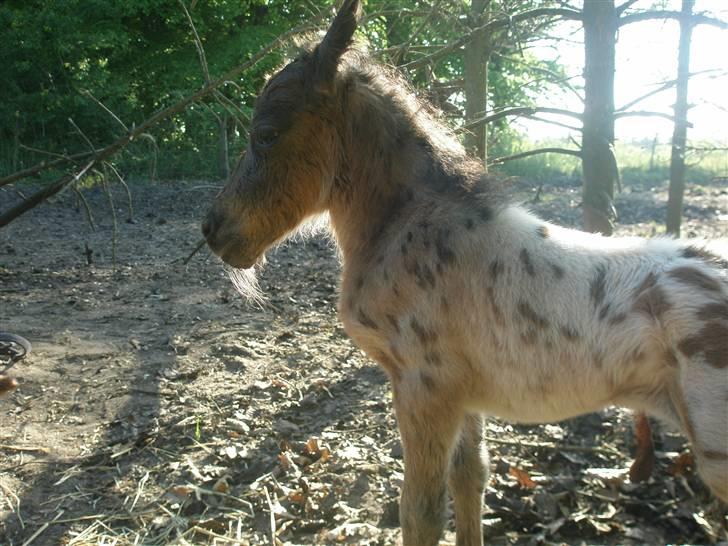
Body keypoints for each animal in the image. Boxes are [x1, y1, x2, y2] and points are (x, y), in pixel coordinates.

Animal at [203, 2, 728, 540]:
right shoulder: (464, 396)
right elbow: (471, 474)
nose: (213, 228)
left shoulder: (424, 388)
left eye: (266, 134)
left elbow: (421, 510)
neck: (410, 225)